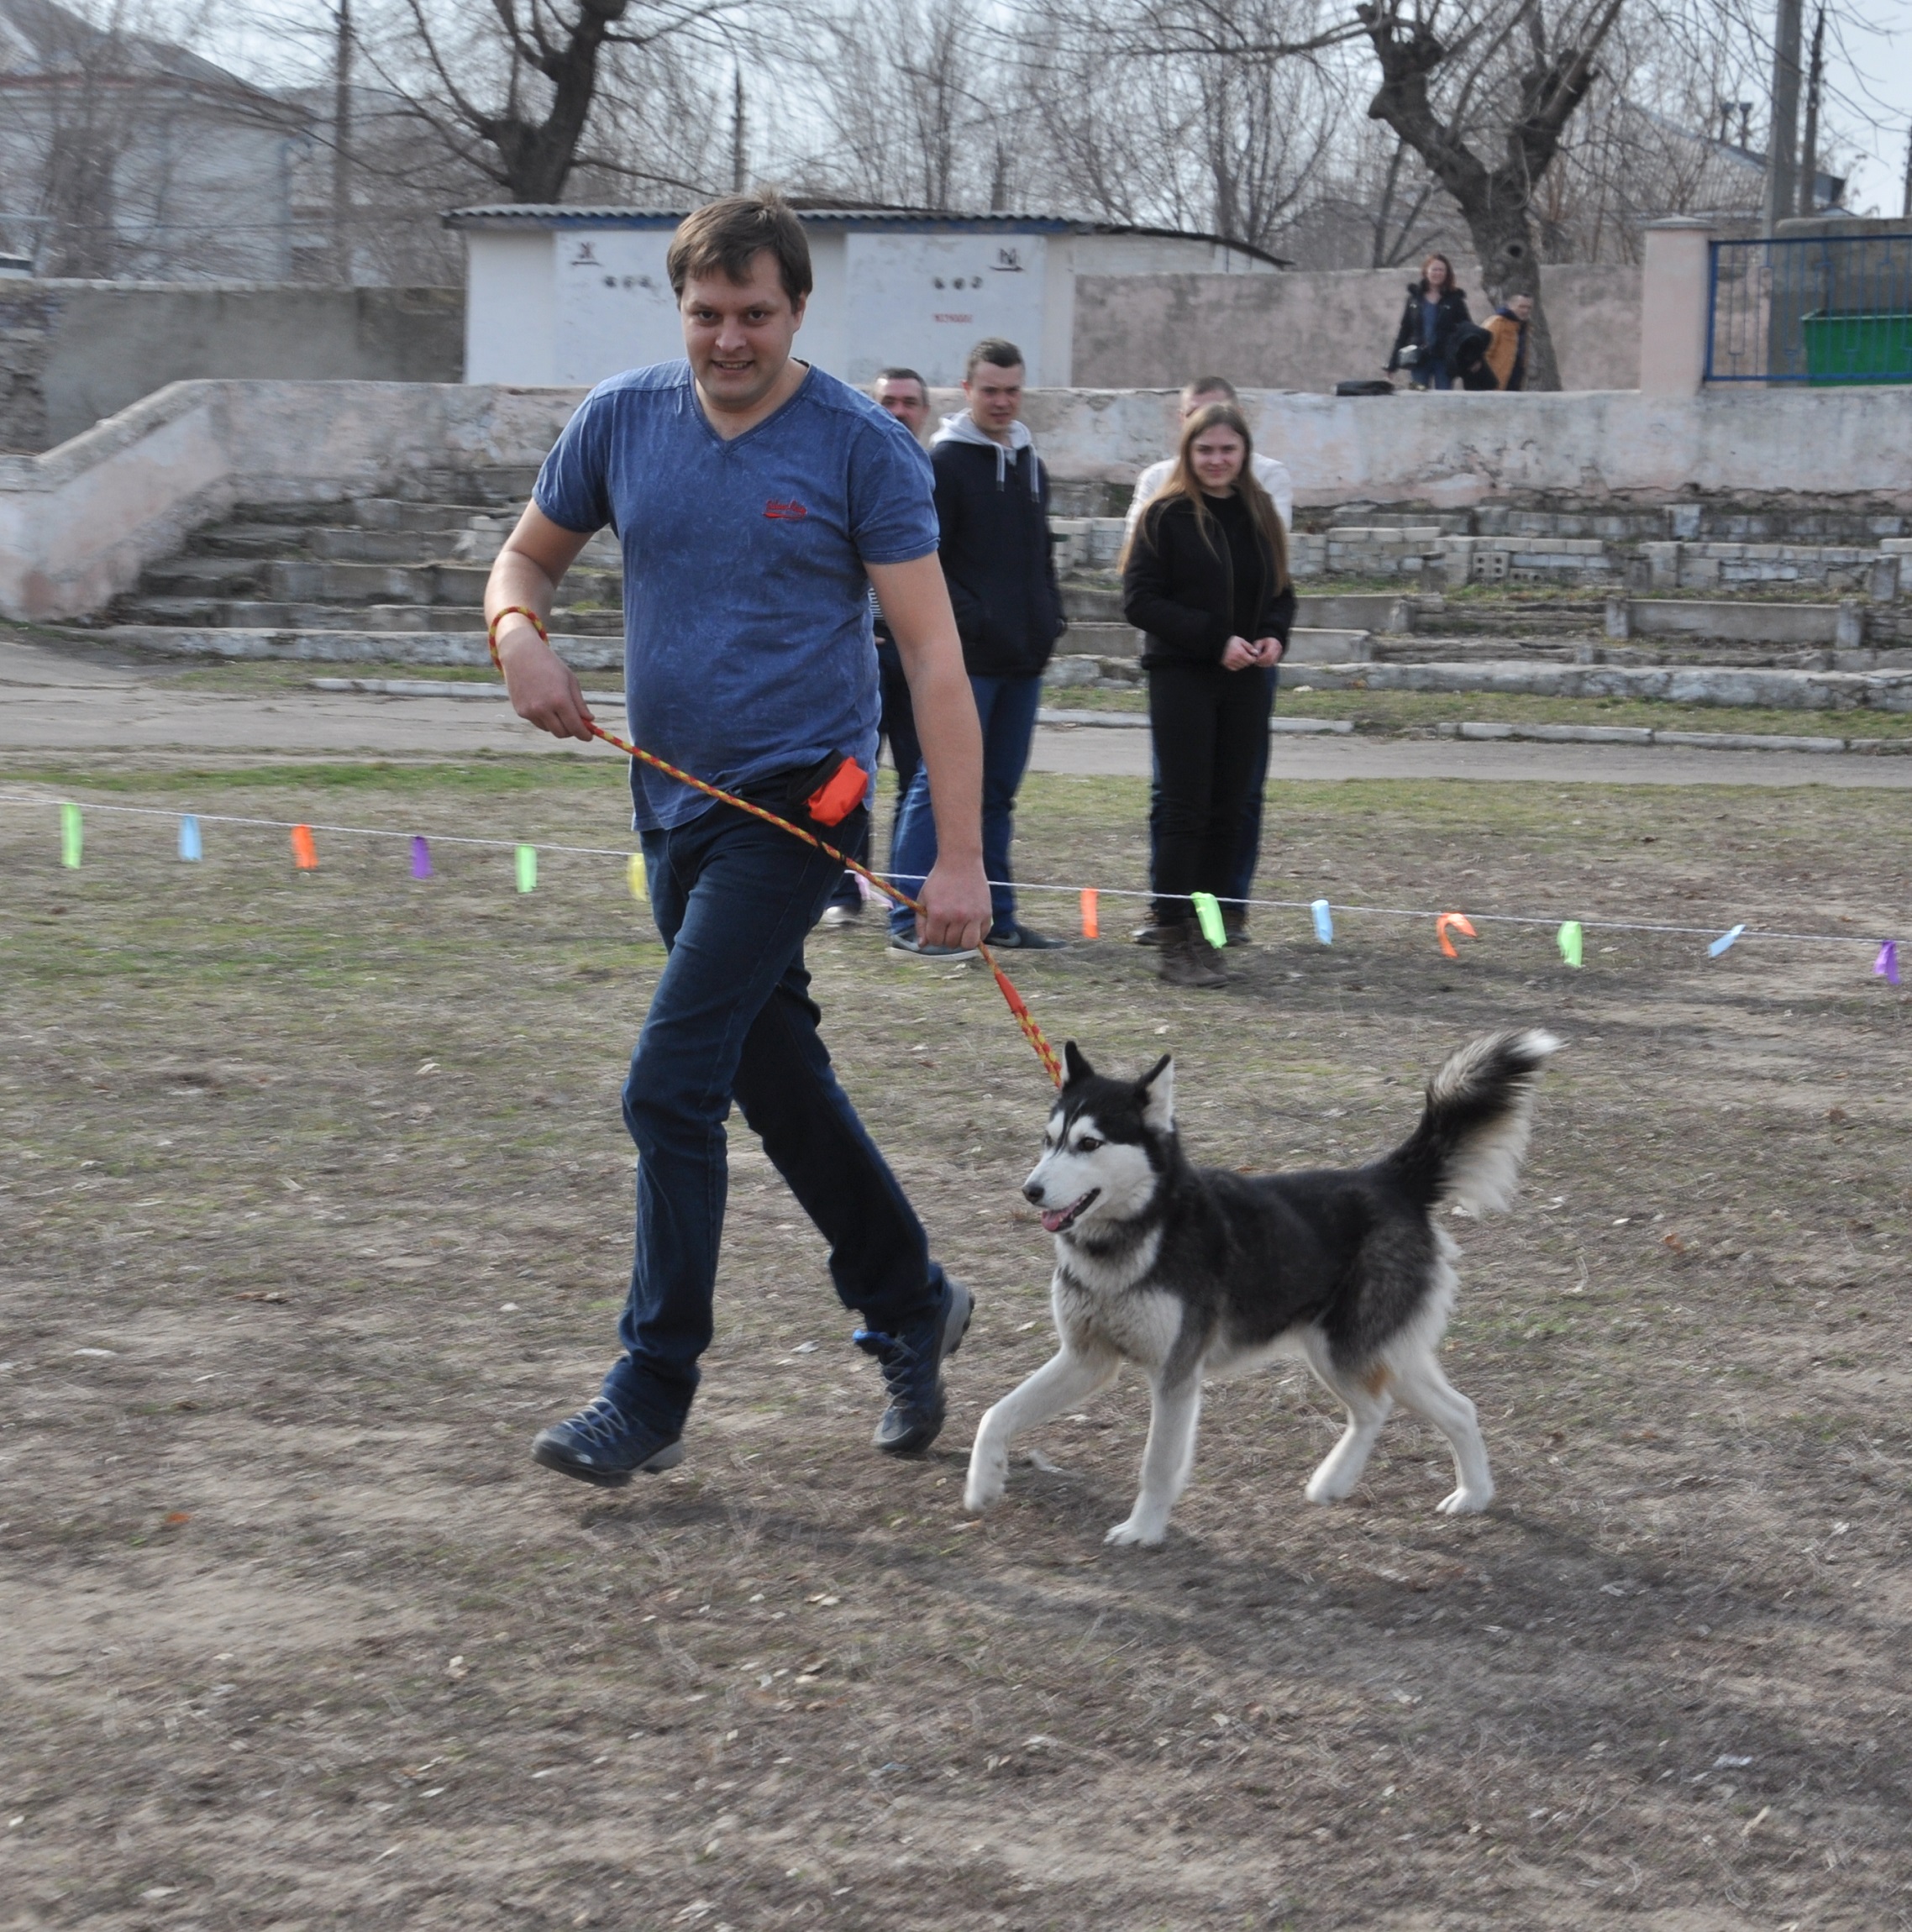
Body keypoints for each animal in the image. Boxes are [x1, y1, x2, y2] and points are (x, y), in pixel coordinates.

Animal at [964, 1029, 1559, 1545]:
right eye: (1048, 1141)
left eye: (1089, 1144)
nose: (1031, 1190)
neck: (1136, 1234)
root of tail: (1389, 1177)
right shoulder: (1087, 1358)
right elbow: (996, 1415)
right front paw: (983, 1483)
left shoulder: (1176, 1374)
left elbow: (1157, 1464)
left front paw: (1143, 1530)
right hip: (1366, 1351)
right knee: (1448, 1409)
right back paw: (1458, 1494)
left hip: (1346, 1351)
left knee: (1383, 1408)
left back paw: (1369, 1484)